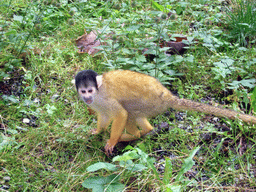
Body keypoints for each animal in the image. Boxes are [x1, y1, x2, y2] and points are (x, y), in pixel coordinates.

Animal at [75, 70, 256, 155]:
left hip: (149, 103)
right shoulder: (98, 103)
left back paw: (131, 136)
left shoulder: (105, 98)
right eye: (83, 91)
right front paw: (98, 131)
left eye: (90, 90)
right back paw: (146, 131)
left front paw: (112, 141)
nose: (87, 97)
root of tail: (167, 96)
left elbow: (120, 114)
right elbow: (104, 116)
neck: (98, 93)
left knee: (129, 111)